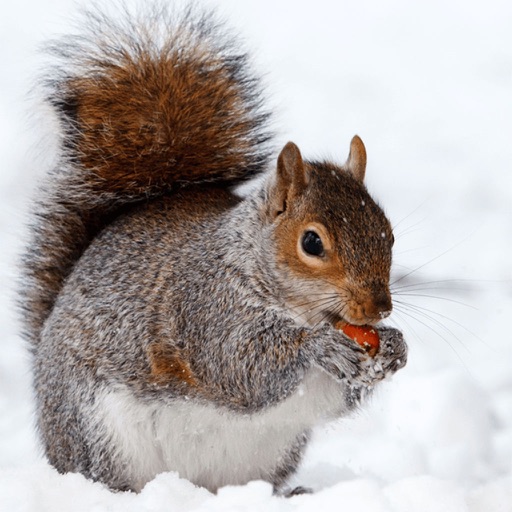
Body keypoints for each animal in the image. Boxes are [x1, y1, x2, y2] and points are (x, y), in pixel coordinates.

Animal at [20, 2, 408, 494]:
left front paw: (394, 347)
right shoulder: (205, 306)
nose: (379, 308)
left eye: (389, 233)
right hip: (99, 433)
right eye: (312, 242)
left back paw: (288, 493)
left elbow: (336, 396)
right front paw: (319, 346)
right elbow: (238, 364)